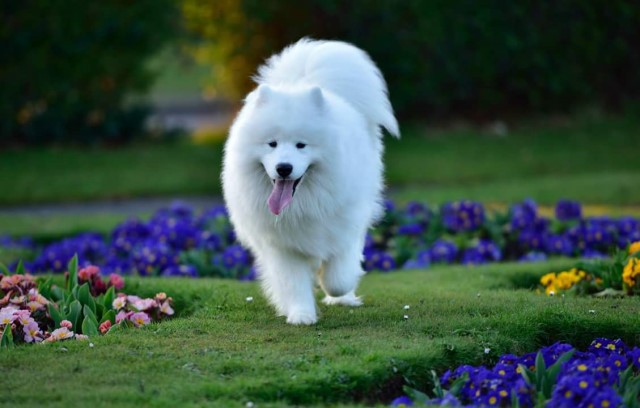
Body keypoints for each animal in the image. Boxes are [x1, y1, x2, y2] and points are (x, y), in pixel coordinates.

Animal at [222, 39, 398, 326]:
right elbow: (293, 283)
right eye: (272, 144)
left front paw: (334, 290)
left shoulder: (344, 228)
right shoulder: (282, 246)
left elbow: (339, 277)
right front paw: (301, 314)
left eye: (301, 145)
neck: (303, 205)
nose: (284, 168)